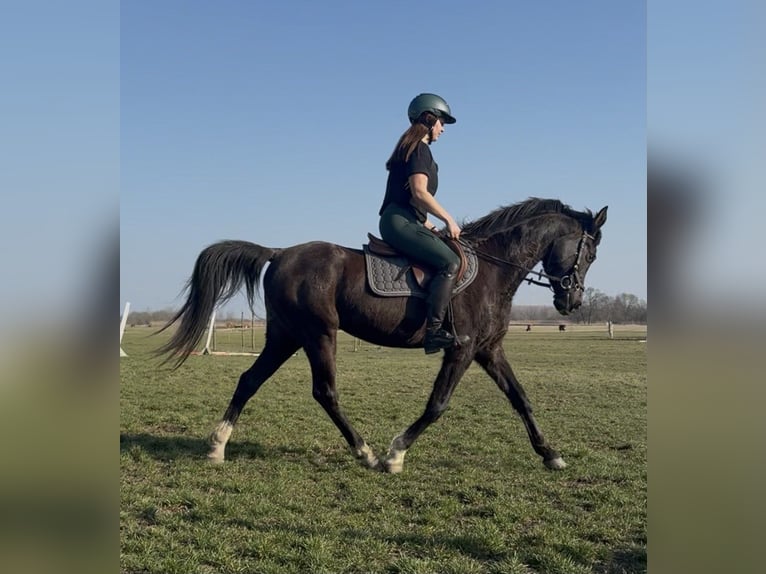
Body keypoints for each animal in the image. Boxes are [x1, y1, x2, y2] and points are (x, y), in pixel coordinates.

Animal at [156, 197, 607, 473]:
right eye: (590, 253)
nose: (572, 302)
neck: (494, 270)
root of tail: (280, 253)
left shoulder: (488, 349)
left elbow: (520, 399)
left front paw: (550, 454)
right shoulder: (460, 351)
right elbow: (437, 404)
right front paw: (396, 453)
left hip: (286, 336)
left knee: (249, 380)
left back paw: (217, 445)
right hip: (318, 334)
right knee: (325, 392)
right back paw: (366, 452)